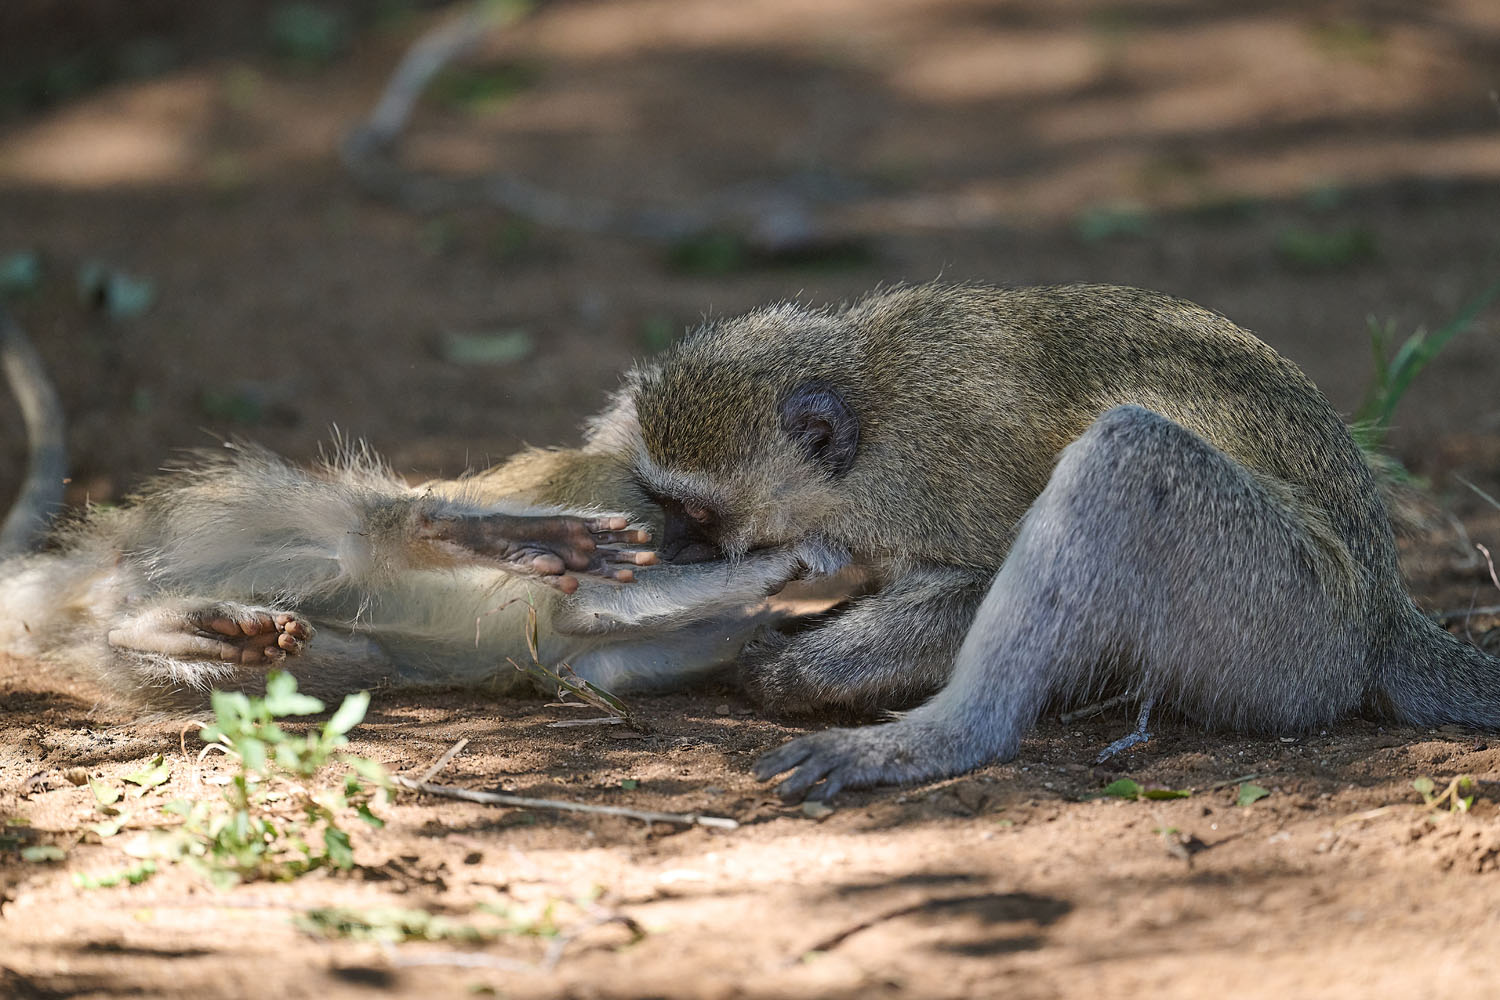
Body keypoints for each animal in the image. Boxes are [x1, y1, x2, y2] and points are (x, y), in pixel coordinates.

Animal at [613, 282, 1500, 801]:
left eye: (698, 515)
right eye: (661, 503)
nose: (673, 549)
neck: (874, 408)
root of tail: (1383, 616)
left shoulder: (947, 469)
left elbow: (970, 588)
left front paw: (793, 669)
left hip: (1291, 632)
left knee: (1127, 456)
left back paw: (939, 739)